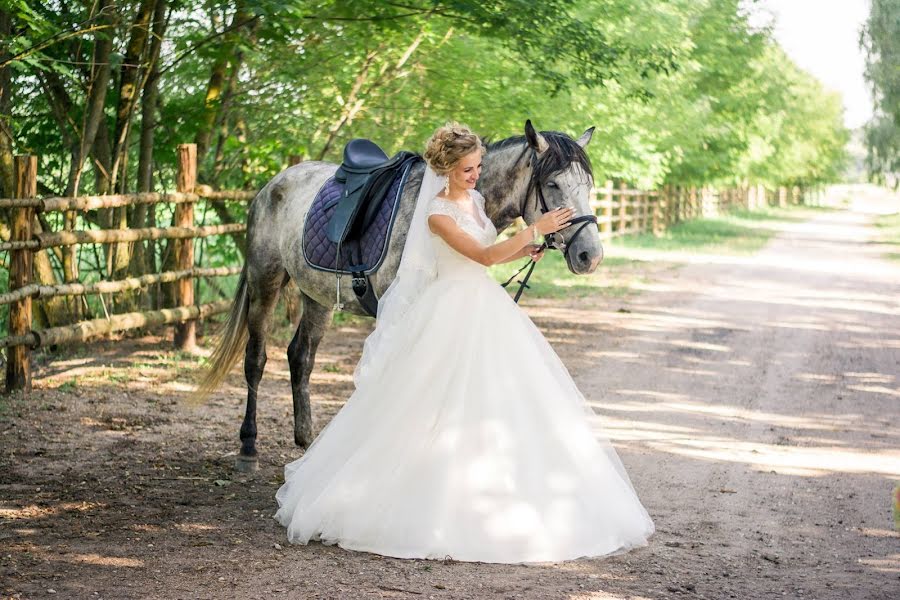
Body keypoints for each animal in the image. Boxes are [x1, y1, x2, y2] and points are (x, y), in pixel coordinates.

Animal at [197, 119, 604, 472]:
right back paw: (248, 447)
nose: (590, 256)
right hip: (265, 280)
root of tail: (274, 184)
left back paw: (308, 443)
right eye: (552, 184)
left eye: (588, 186)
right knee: (256, 358)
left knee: (300, 357)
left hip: (319, 295)